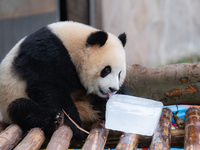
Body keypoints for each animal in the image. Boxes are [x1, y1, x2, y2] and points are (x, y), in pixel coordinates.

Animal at [0, 21, 129, 139]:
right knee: (21, 109)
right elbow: (49, 87)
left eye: (119, 73)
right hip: (11, 98)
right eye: (106, 70)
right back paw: (54, 120)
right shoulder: (47, 53)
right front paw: (76, 127)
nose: (113, 89)